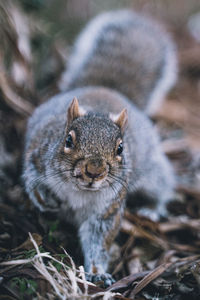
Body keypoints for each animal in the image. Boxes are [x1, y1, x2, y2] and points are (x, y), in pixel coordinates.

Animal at [23, 10, 177, 288]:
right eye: (68, 140)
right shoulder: (37, 154)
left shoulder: (108, 209)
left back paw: (151, 209)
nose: (94, 171)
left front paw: (96, 271)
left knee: (161, 186)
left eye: (120, 149)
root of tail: (106, 89)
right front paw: (44, 198)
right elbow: (31, 179)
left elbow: (99, 239)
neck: (79, 192)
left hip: (152, 170)